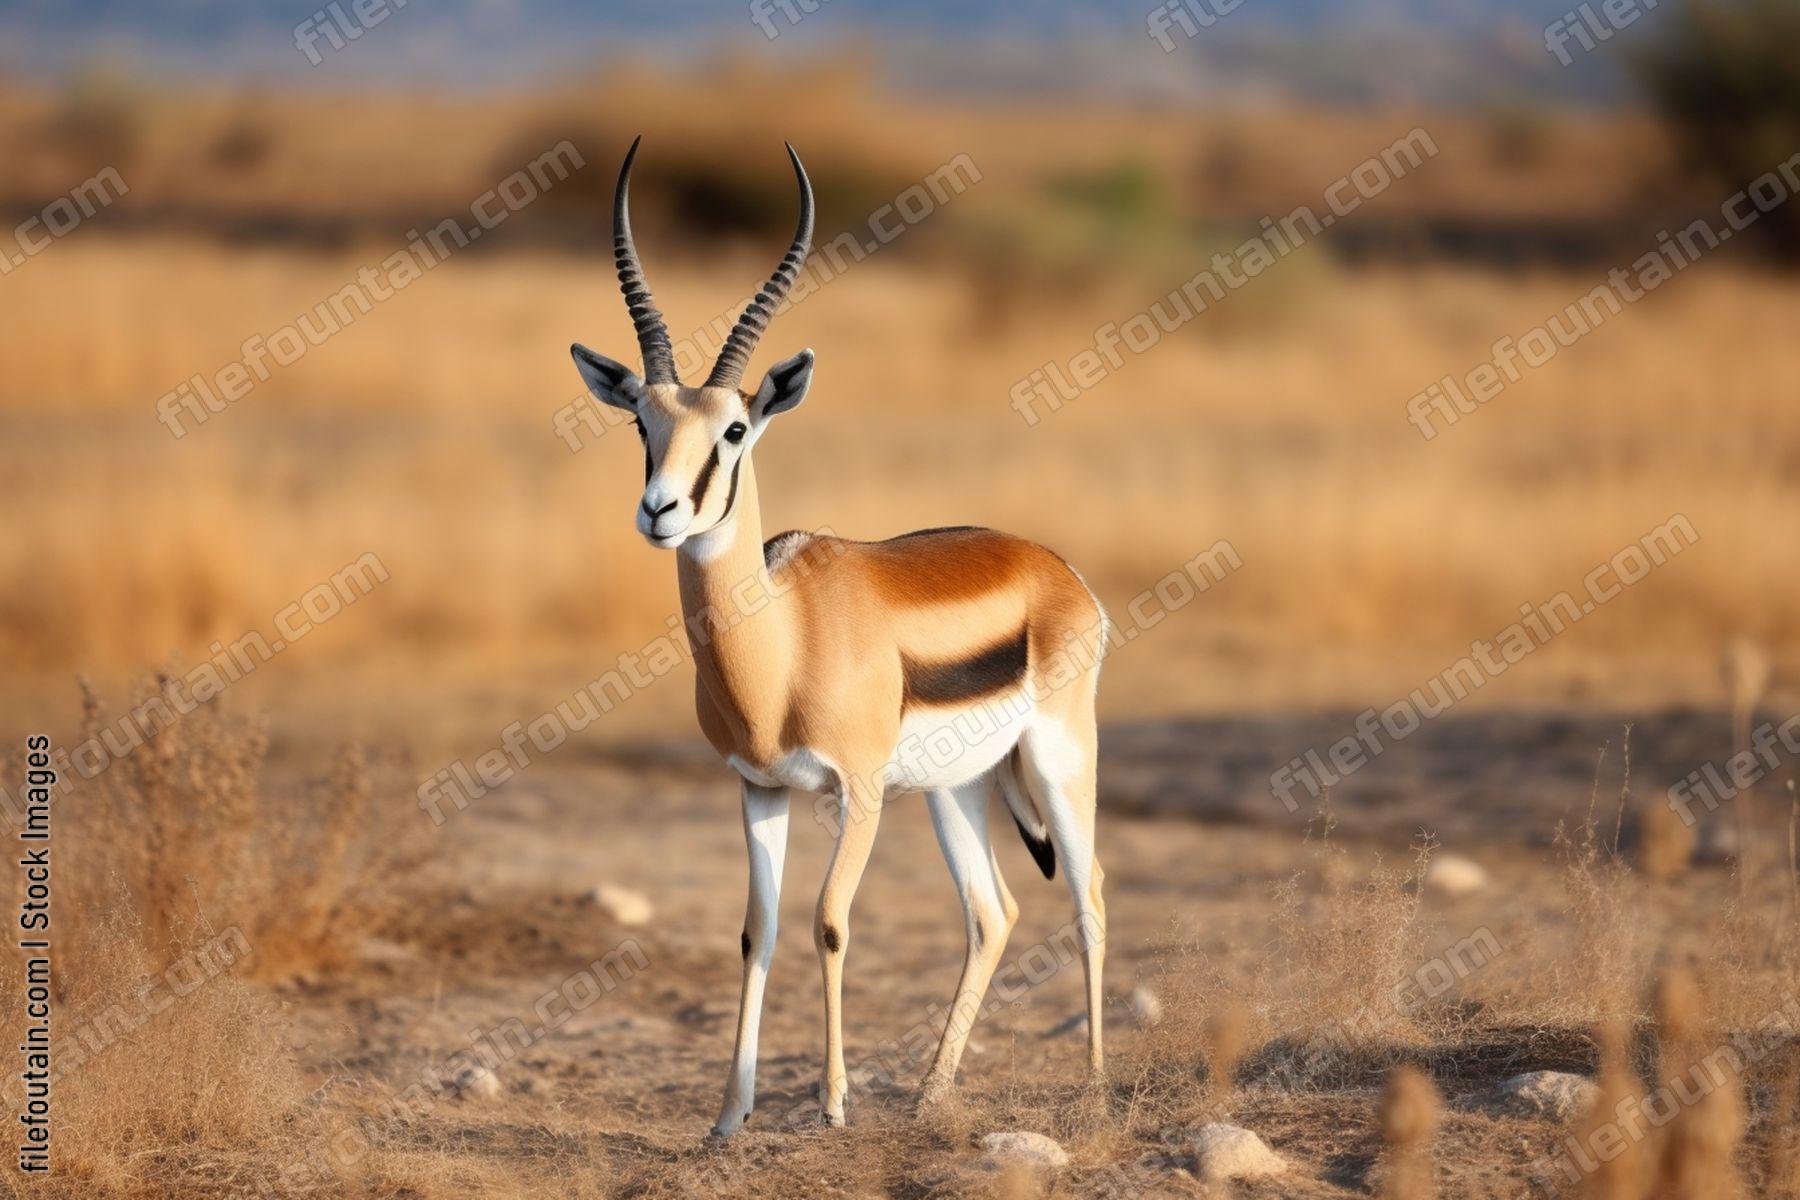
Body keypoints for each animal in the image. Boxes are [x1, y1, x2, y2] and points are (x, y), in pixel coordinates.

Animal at [570, 138, 1110, 1136]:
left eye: (735, 430)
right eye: (641, 422)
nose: (660, 511)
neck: (782, 644)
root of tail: (1054, 565)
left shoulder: (857, 793)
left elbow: (828, 921)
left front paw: (830, 1104)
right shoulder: (758, 789)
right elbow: (759, 931)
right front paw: (727, 1119)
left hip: (1056, 760)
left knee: (1088, 894)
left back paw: (1091, 1088)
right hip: (957, 787)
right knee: (994, 913)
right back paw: (933, 1093)